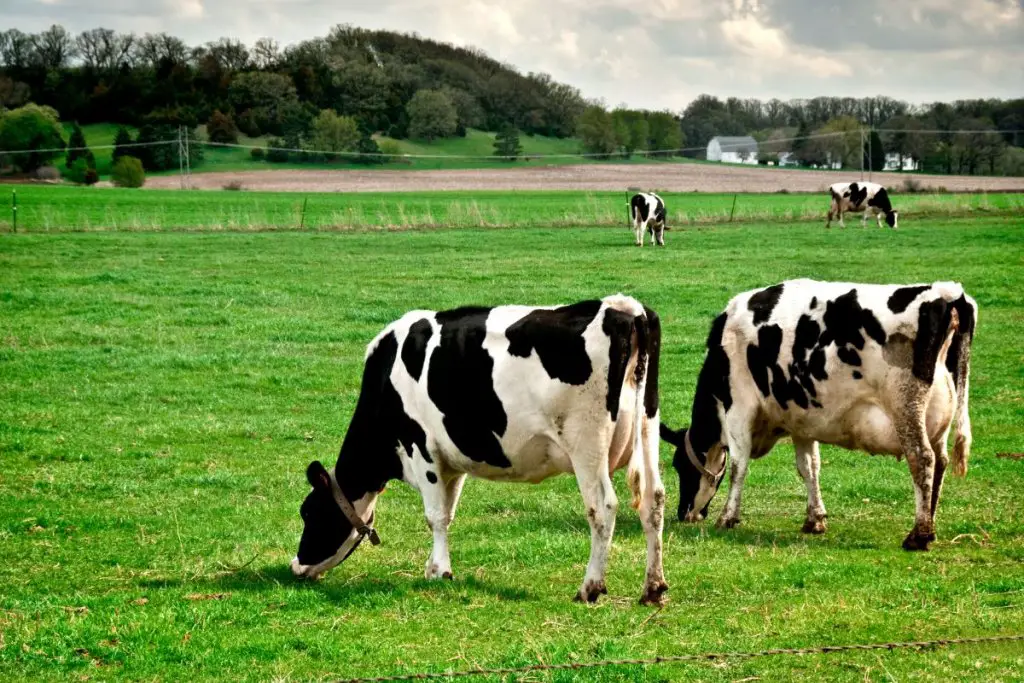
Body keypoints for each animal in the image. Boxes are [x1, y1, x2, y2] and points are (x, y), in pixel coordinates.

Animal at [292, 294, 667, 602]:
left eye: (308, 512)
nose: (295, 566)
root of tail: (623, 307)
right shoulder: (453, 460)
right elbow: (447, 512)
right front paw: (435, 566)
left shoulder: (421, 447)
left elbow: (434, 515)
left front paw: (439, 572)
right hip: (648, 426)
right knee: (653, 499)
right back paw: (653, 588)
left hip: (585, 442)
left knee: (602, 507)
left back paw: (590, 587)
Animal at [663, 280, 974, 552]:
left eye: (679, 466)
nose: (683, 513)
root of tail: (946, 293)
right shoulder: (803, 422)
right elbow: (809, 467)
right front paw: (815, 519)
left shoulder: (739, 409)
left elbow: (739, 467)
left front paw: (727, 517)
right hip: (939, 417)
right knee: (940, 462)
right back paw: (930, 525)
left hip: (906, 407)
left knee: (922, 459)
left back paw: (918, 535)